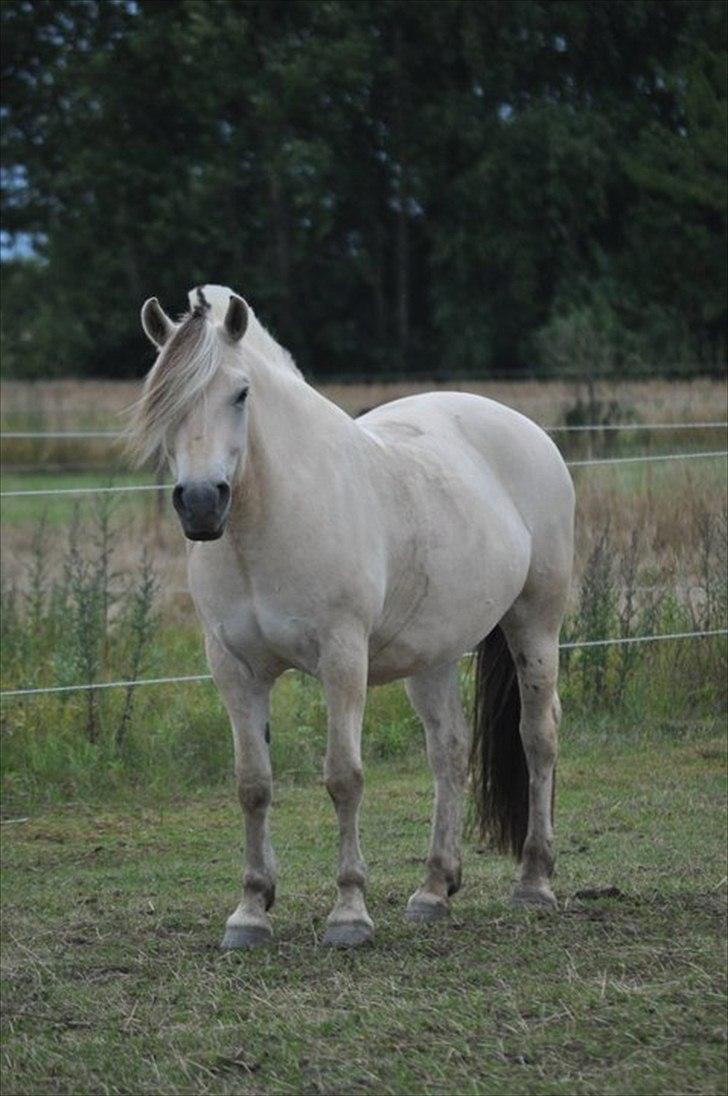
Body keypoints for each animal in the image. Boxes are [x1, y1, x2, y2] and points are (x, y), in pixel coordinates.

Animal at [132, 287, 574, 946]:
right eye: (164, 398)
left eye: (241, 393)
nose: (203, 503)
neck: (271, 519)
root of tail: (523, 428)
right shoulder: (234, 668)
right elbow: (252, 783)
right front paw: (251, 910)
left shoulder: (342, 657)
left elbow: (344, 776)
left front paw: (348, 912)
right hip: (434, 654)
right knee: (448, 750)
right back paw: (433, 888)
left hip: (535, 625)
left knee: (537, 736)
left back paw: (533, 882)